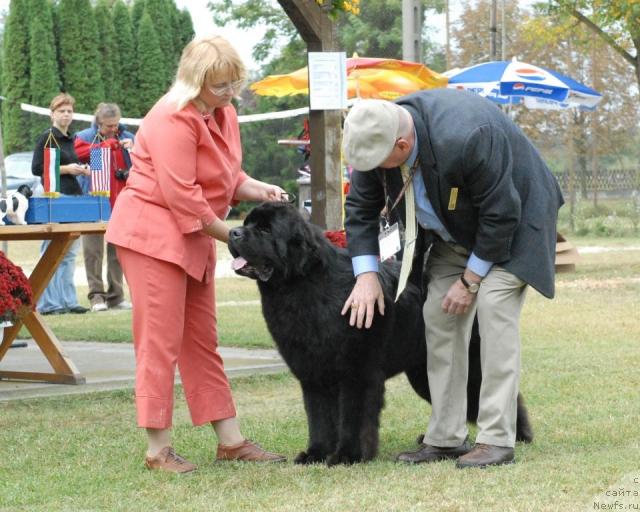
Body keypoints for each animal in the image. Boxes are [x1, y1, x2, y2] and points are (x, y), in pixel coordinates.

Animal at [228, 202, 532, 466]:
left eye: (266, 230)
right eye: (248, 223)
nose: (233, 232)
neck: (302, 287)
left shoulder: (356, 371)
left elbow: (353, 417)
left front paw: (348, 455)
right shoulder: (312, 374)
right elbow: (319, 418)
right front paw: (316, 453)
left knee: (488, 392)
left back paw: (515, 437)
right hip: (422, 371)